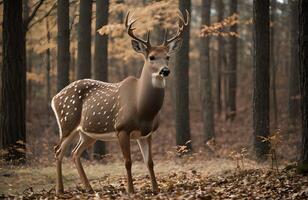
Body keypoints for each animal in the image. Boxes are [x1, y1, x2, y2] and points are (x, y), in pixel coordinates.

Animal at [51, 10, 189, 195]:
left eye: (167, 57)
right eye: (151, 57)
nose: (165, 71)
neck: (142, 108)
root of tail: (54, 98)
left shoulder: (147, 133)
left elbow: (150, 162)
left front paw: (156, 189)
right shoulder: (121, 128)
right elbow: (128, 161)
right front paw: (131, 190)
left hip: (88, 133)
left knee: (74, 153)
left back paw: (89, 188)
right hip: (67, 122)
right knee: (58, 150)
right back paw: (60, 190)